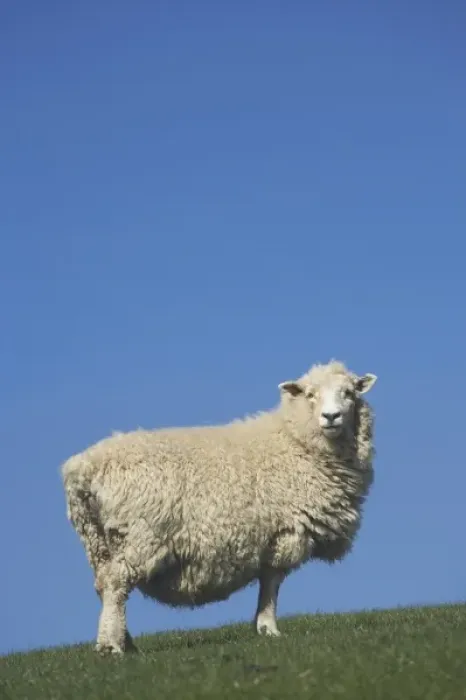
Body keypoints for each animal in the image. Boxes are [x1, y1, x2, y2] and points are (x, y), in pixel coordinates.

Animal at [62, 360, 377, 655]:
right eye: (311, 395)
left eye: (349, 393)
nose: (331, 416)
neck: (293, 441)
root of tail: (84, 467)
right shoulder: (285, 531)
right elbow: (272, 581)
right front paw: (268, 628)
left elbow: (268, 580)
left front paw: (262, 627)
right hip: (138, 536)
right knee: (116, 584)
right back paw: (111, 646)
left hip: (97, 540)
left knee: (104, 585)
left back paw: (126, 642)